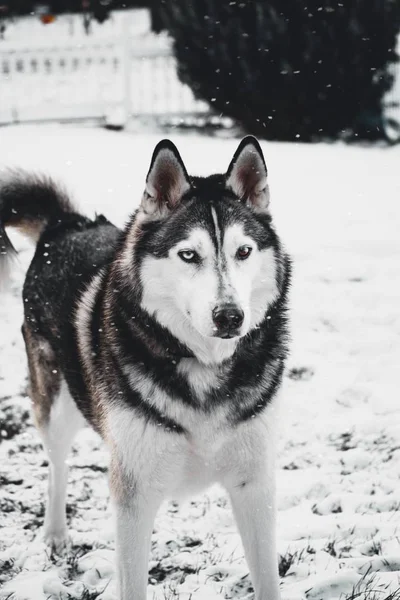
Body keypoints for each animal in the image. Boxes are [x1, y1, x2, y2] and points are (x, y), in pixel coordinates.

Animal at [0, 137, 290, 600]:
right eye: (188, 255)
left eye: (244, 252)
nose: (230, 316)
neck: (202, 364)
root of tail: (67, 223)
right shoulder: (134, 494)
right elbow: (132, 580)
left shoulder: (255, 483)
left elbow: (267, 579)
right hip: (58, 406)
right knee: (57, 465)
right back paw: (55, 534)